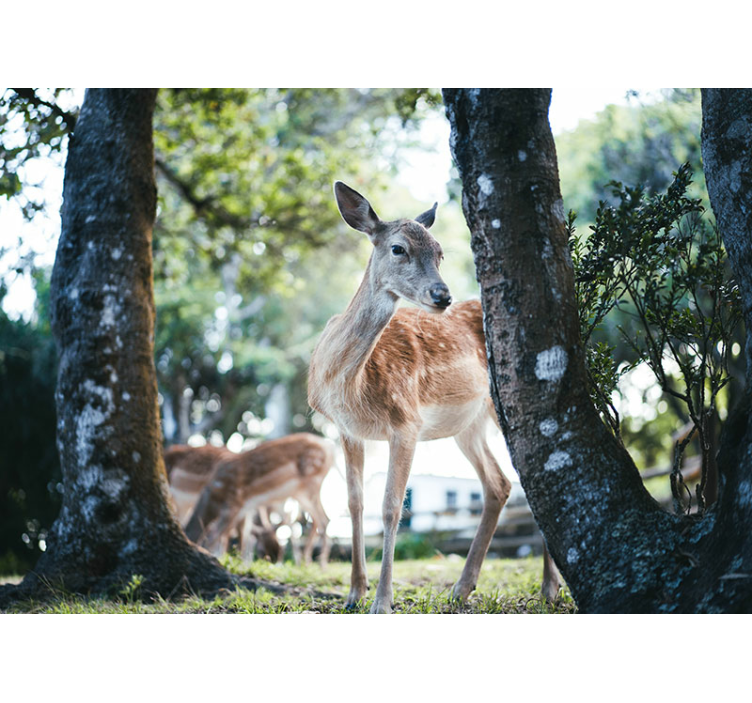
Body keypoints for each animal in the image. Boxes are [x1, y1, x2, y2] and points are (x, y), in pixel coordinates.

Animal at [184, 433, 334, 566]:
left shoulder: (235, 502)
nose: (272, 560)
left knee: (323, 520)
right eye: (261, 551)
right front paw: (239, 563)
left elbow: (214, 536)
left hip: (312, 483)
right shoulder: (243, 509)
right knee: (321, 520)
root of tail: (330, 449)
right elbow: (242, 536)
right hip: (301, 493)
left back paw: (320, 566)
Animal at [307, 181, 561, 613]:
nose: (442, 295)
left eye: (440, 252)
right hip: (468, 424)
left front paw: (382, 601)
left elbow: (392, 507)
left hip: (501, 404)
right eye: (398, 248)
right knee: (499, 484)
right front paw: (354, 593)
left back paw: (548, 586)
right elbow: (355, 503)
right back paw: (462, 587)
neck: (347, 384)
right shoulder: (346, 430)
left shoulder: (406, 421)